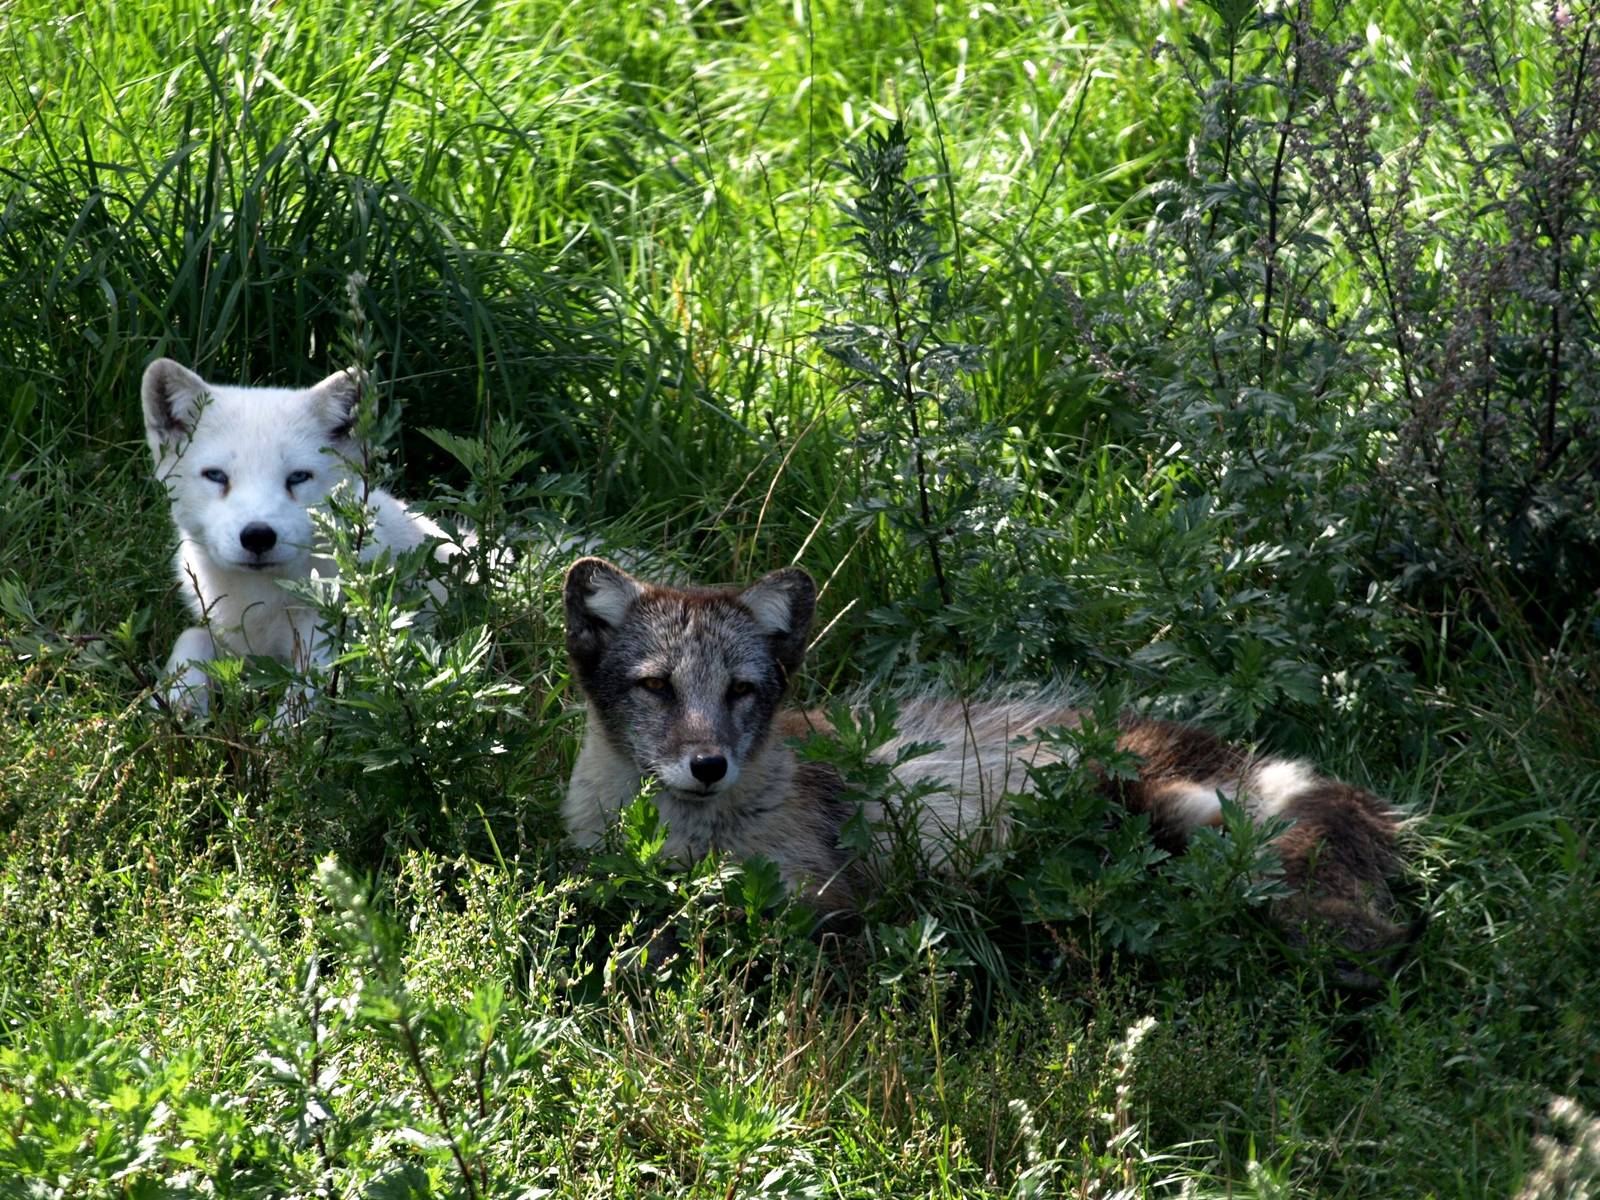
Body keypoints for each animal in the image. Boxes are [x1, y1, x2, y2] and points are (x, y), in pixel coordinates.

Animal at [141, 358, 453, 716]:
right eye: (216, 476)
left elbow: (301, 705)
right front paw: (177, 707)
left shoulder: (328, 648)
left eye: (298, 477)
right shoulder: (237, 643)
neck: (262, 600)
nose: (258, 536)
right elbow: (191, 639)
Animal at [561, 555, 1412, 976]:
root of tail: (1251, 763)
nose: (708, 766)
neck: (687, 841)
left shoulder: (824, 894)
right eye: (657, 686)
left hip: (1117, 804)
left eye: (740, 690)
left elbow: (712, 927)